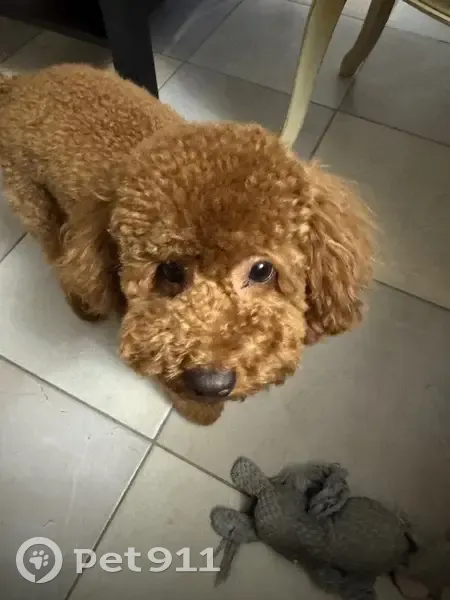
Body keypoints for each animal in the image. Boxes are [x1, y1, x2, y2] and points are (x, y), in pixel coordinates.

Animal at [0, 64, 373, 425]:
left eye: (262, 270)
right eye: (169, 270)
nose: (211, 384)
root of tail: (18, 85)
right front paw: (197, 408)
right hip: (32, 200)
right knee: (55, 251)